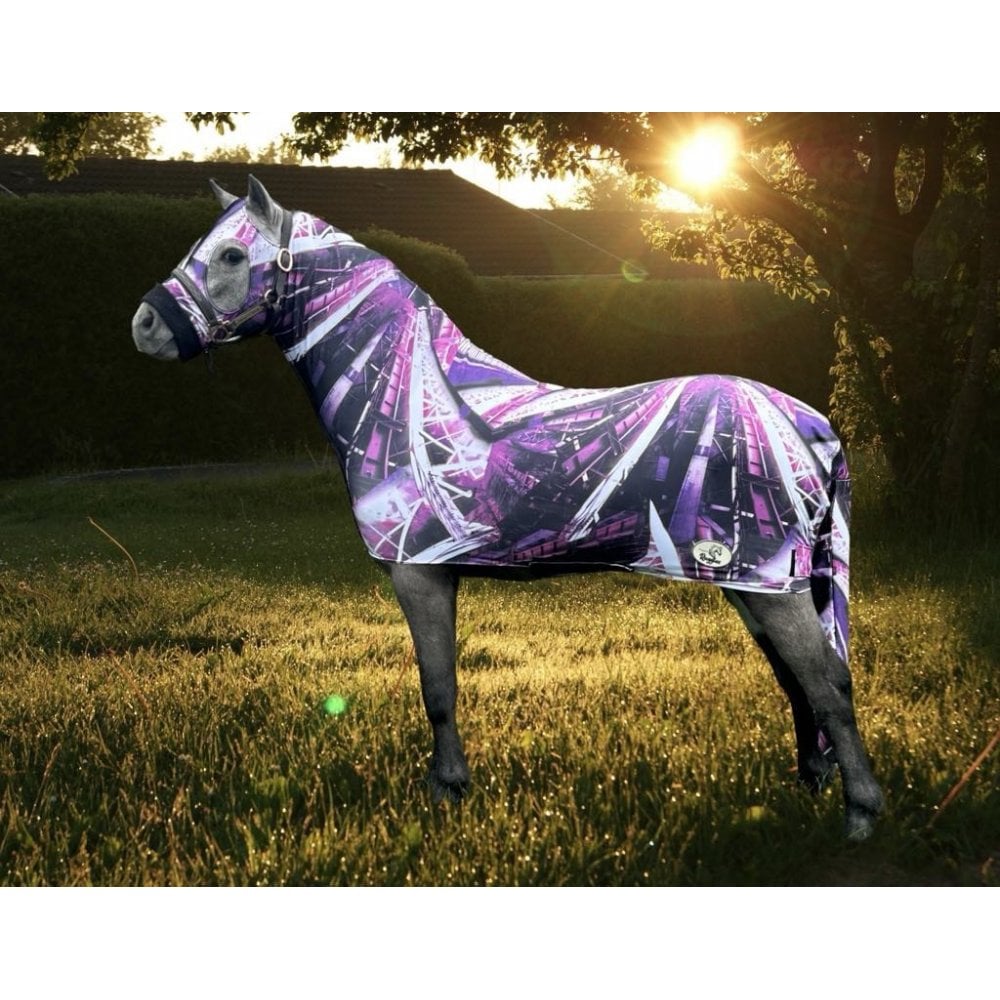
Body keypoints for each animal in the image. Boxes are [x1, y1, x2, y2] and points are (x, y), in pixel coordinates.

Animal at [131, 175, 884, 840]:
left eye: (233, 256)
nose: (143, 326)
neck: (415, 396)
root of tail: (811, 424)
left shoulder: (419, 571)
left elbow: (437, 688)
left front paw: (446, 790)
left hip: (767, 583)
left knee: (829, 683)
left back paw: (860, 815)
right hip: (752, 584)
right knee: (799, 682)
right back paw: (808, 789)